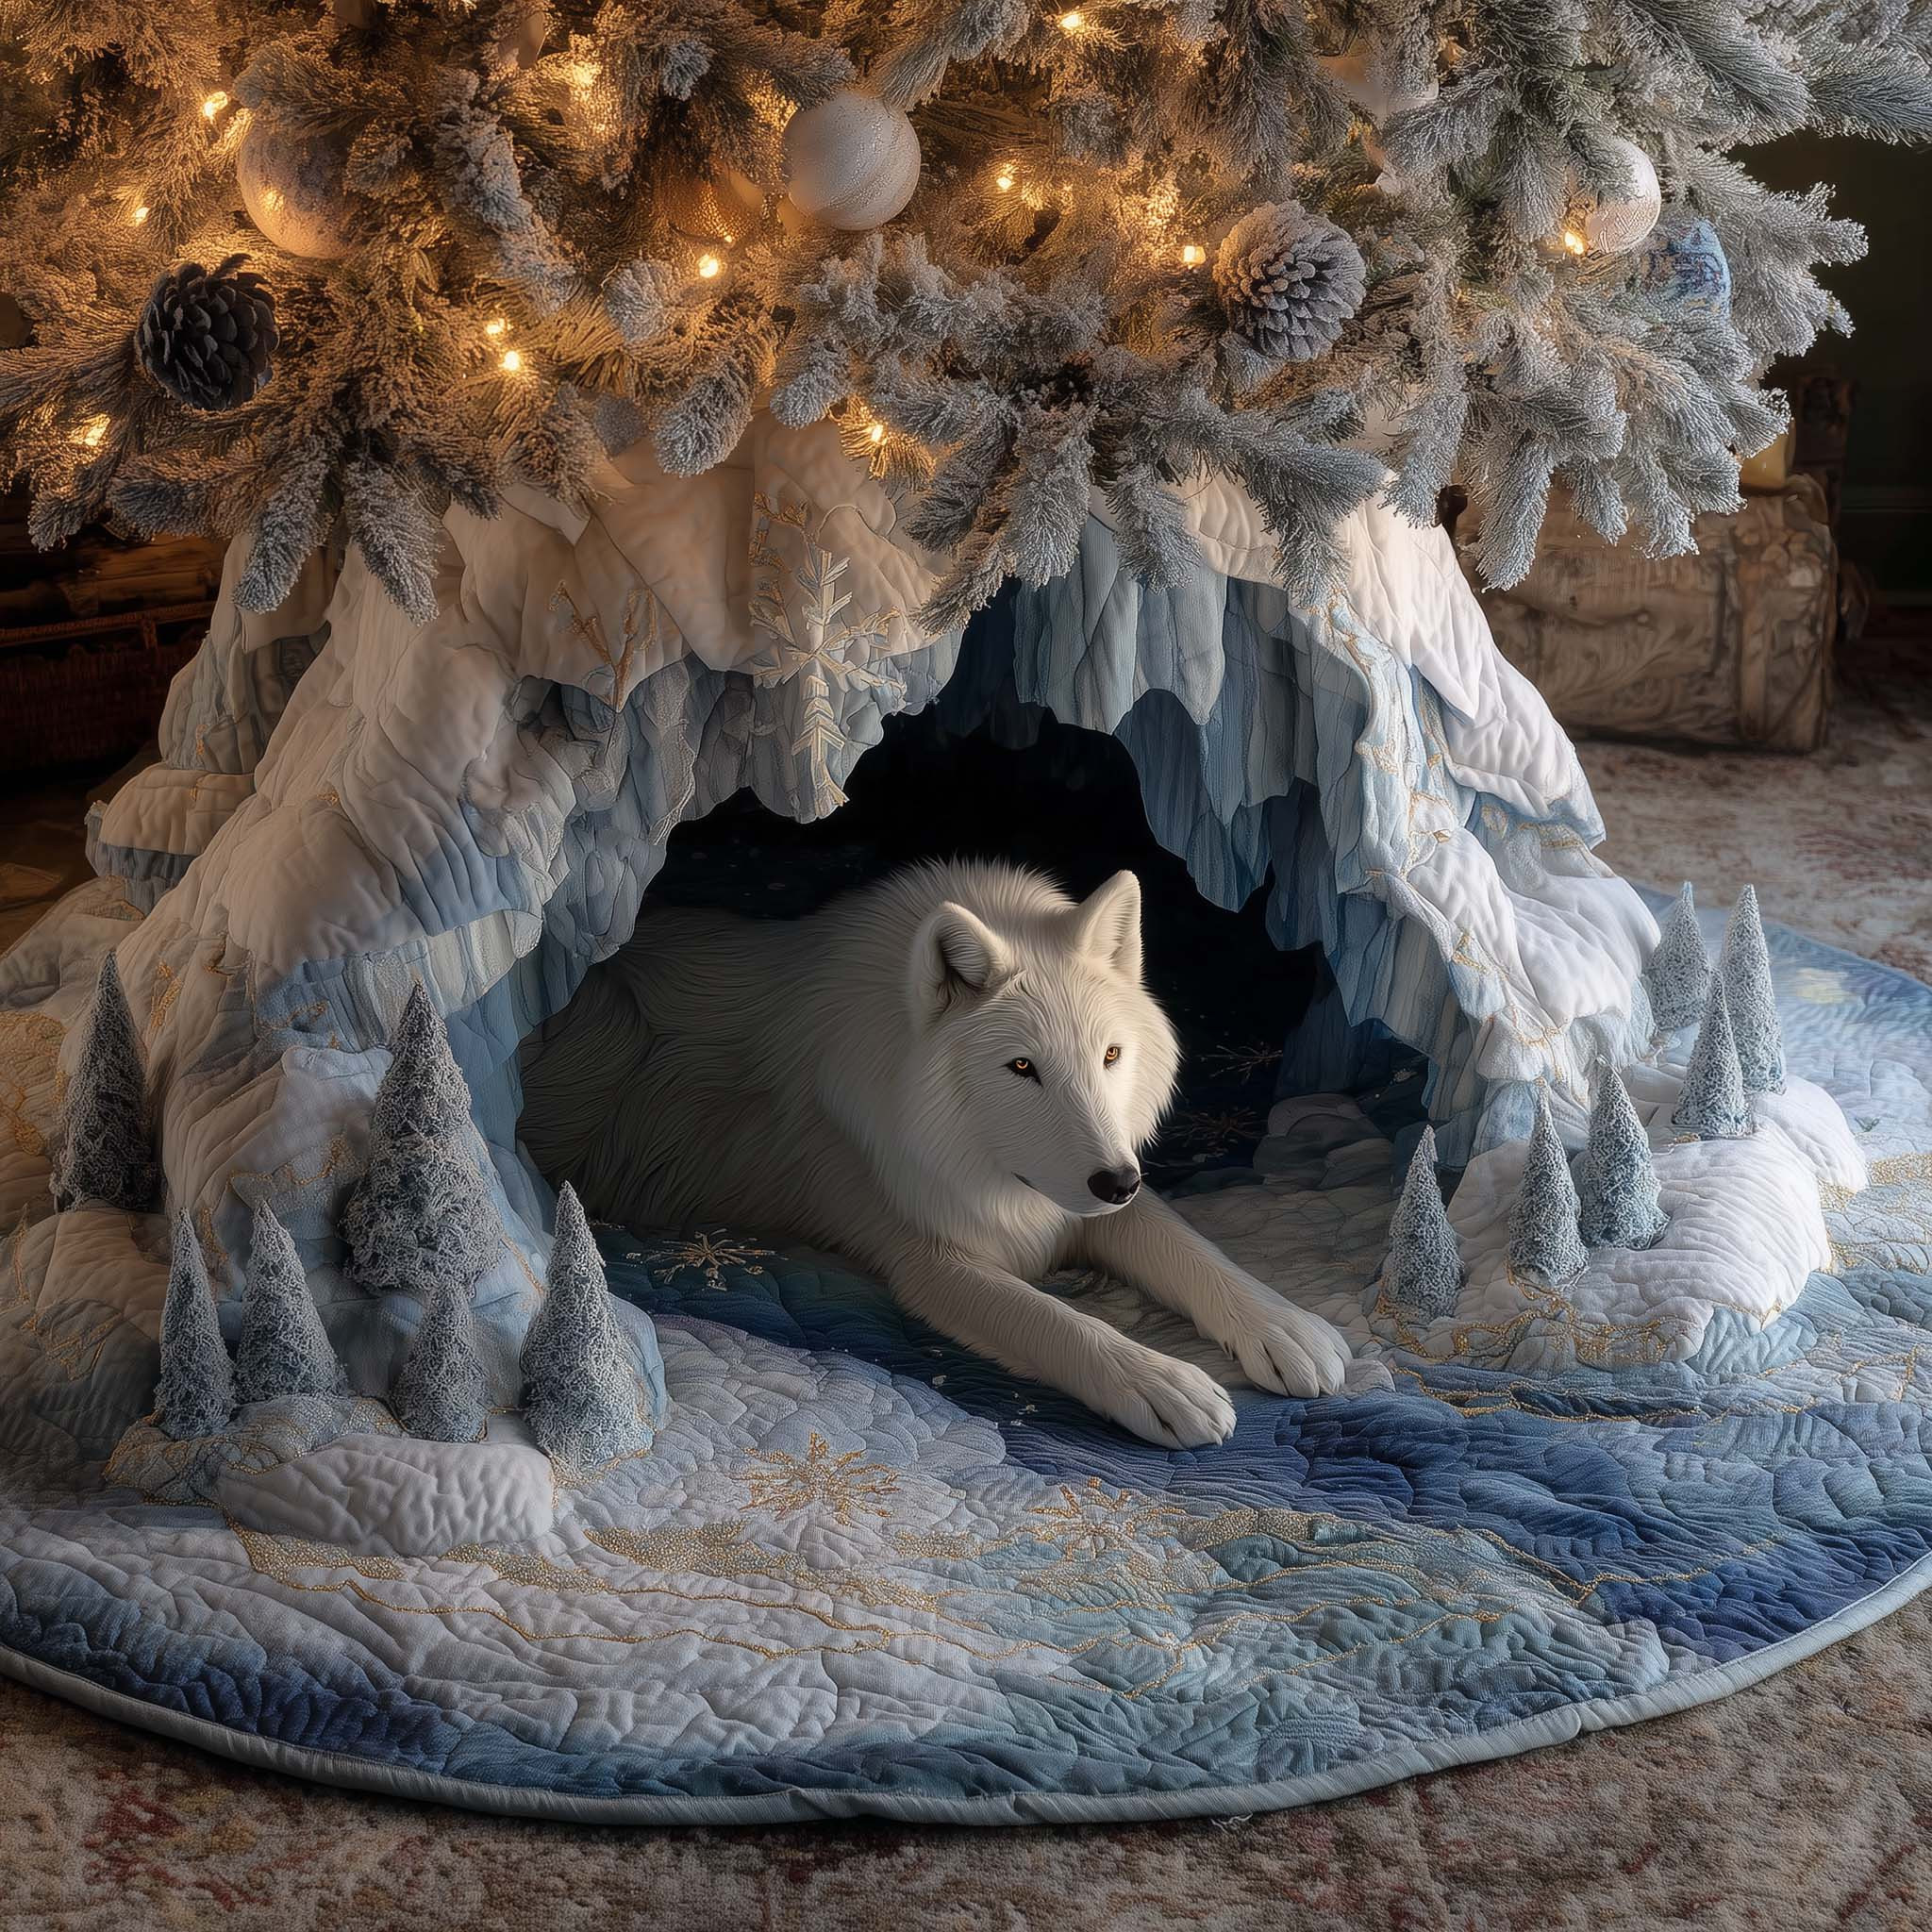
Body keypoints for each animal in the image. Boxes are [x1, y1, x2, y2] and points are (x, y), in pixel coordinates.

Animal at [517, 860, 1352, 1447]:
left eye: (1111, 1055)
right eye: (1023, 1067)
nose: (1116, 1180)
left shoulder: (1081, 1197)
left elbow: (1190, 1247)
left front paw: (1284, 1326)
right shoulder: (929, 1260)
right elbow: (1057, 1321)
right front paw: (1163, 1382)